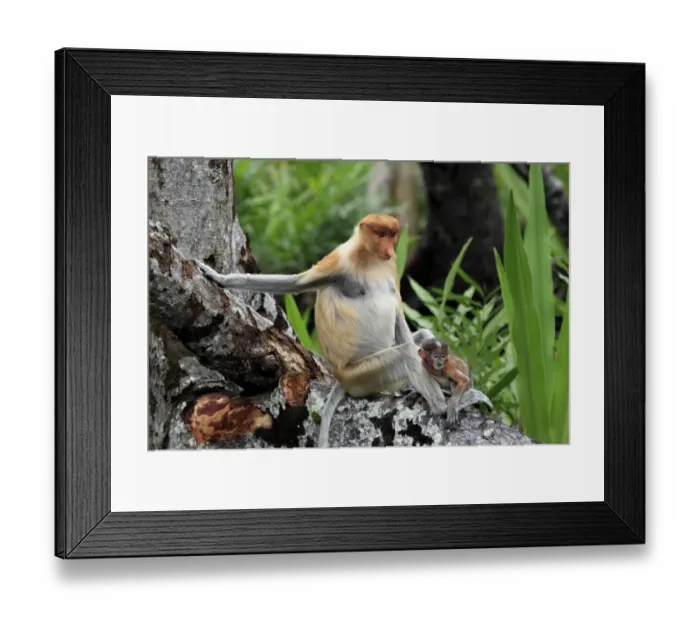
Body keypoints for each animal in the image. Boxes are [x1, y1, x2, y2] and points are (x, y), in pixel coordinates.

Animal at [193, 214, 447, 448]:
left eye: (393, 235)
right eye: (381, 234)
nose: (388, 248)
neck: (369, 258)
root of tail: (343, 379)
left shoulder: (389, 264)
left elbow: (398, 309)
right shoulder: (340, 259)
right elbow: (297, 282)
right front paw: (218, 277)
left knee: (419, 340)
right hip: (366, 373)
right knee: (405, 354)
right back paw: (441, 406)